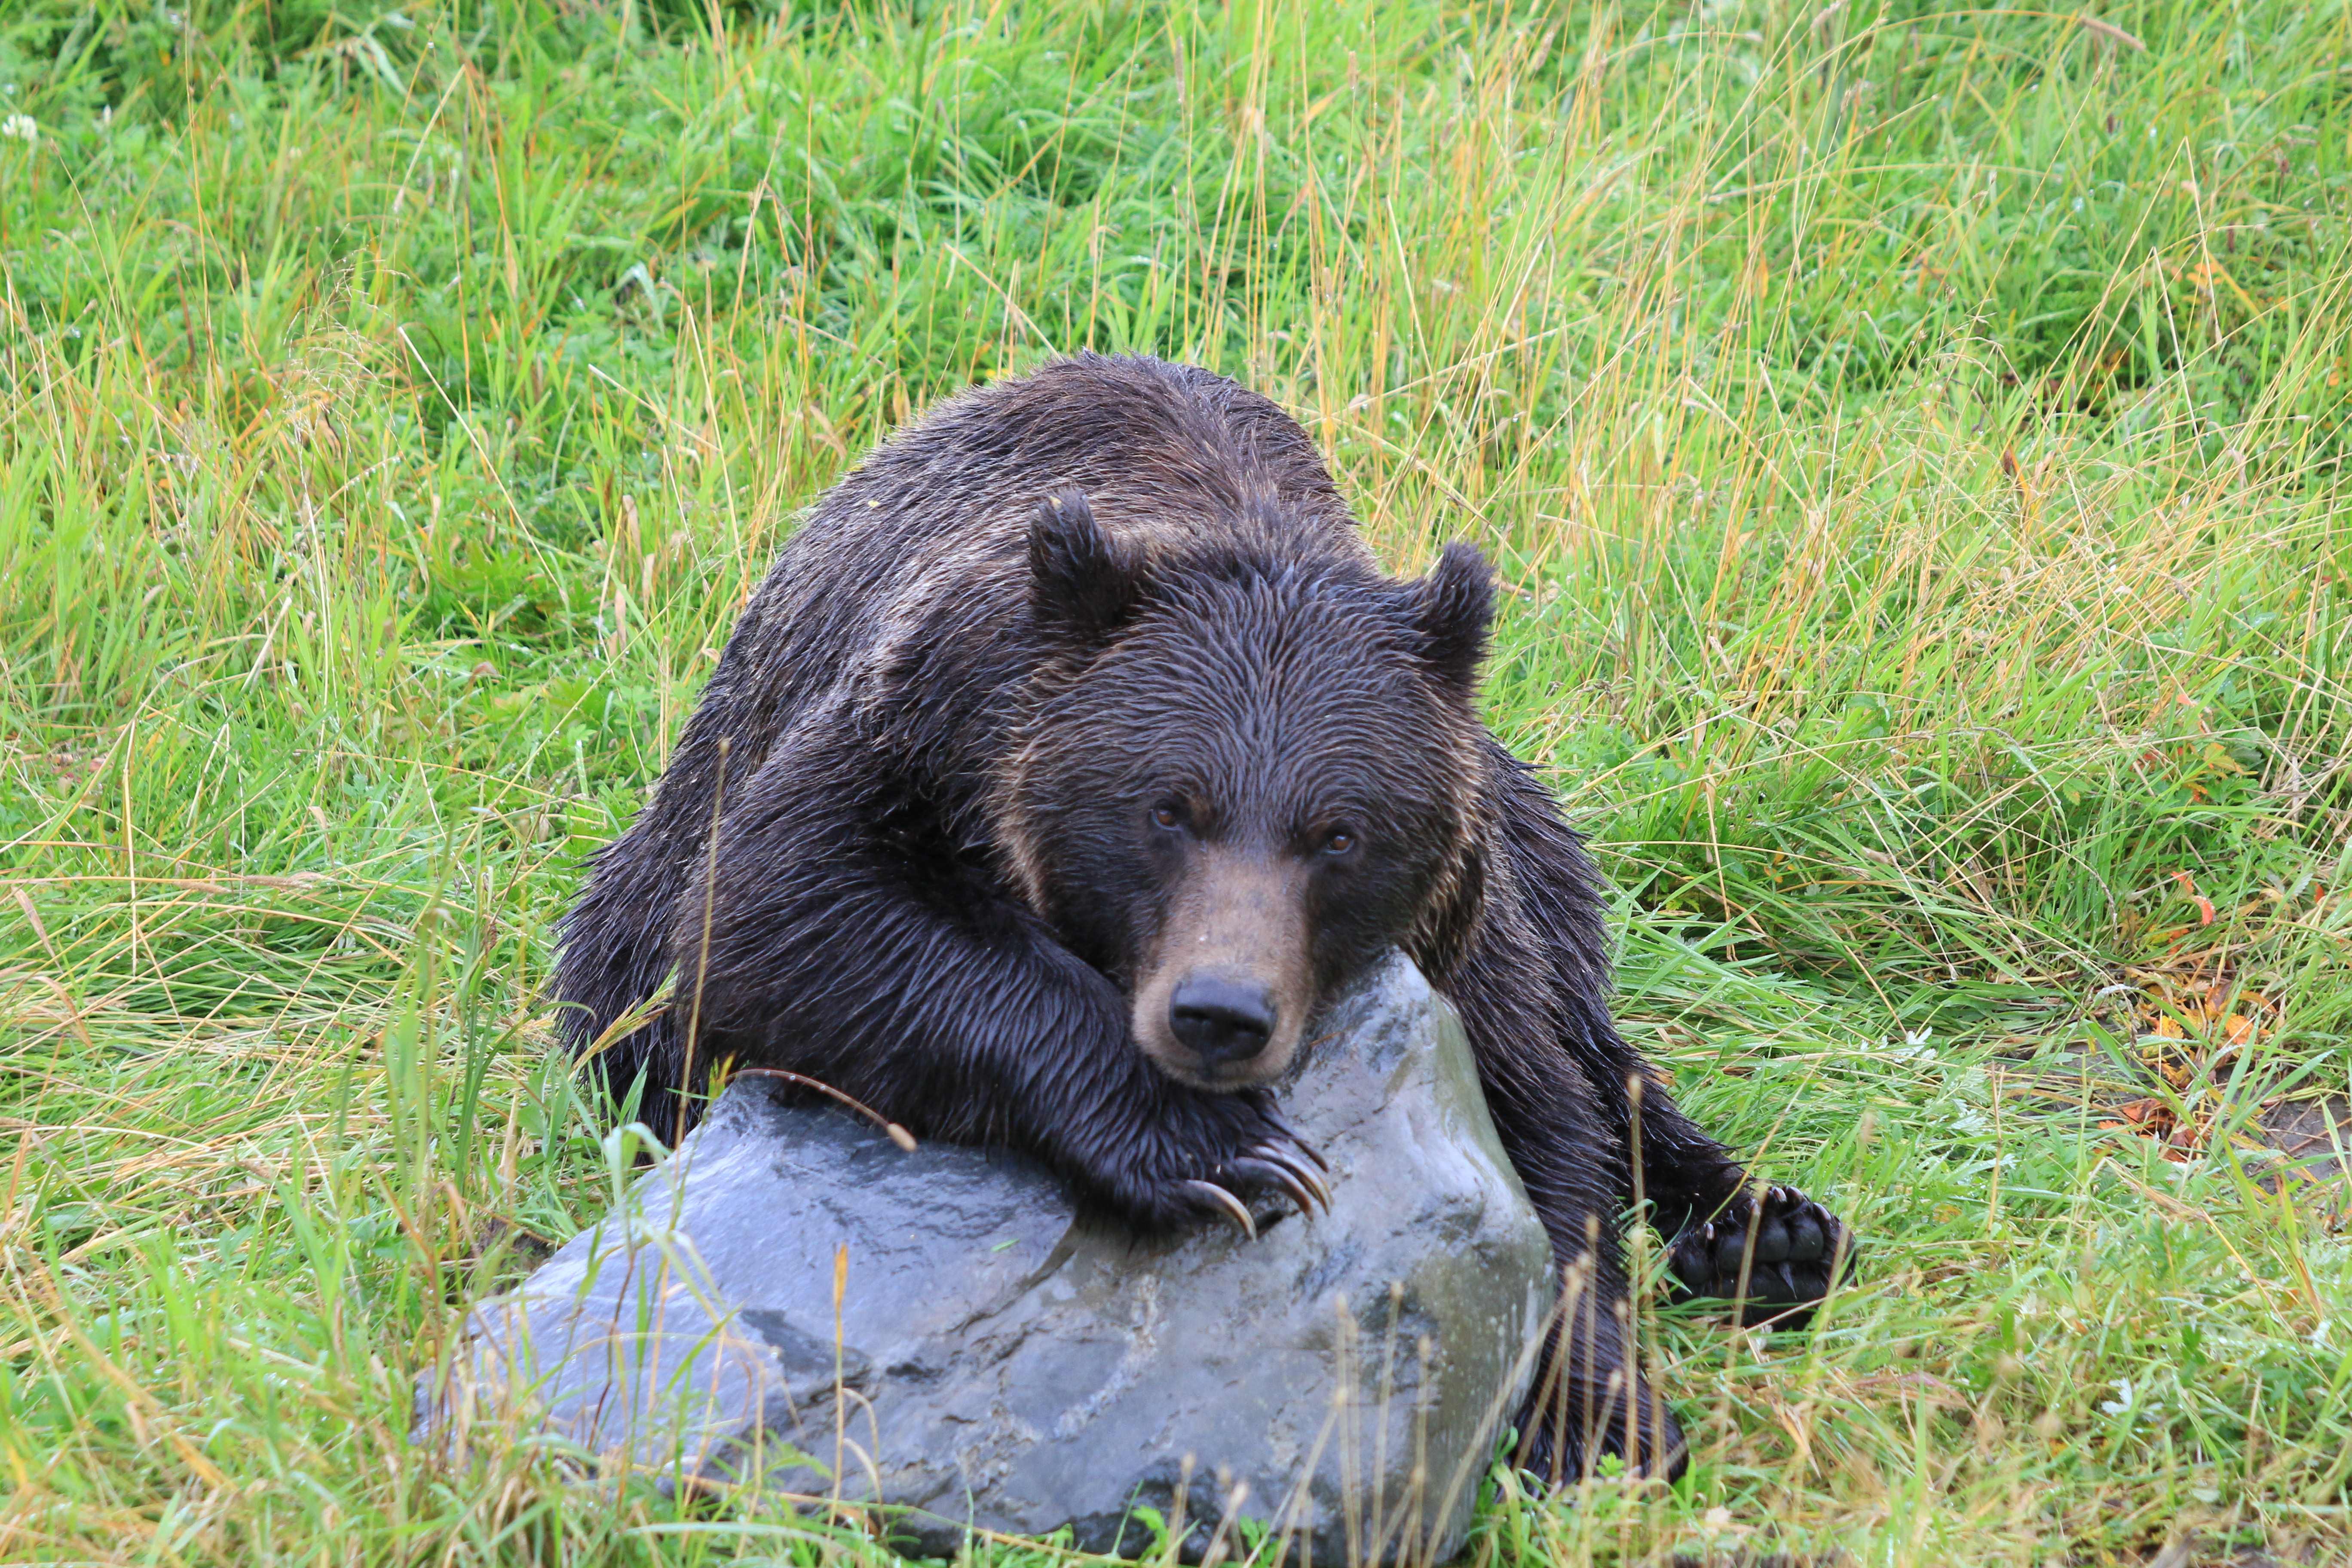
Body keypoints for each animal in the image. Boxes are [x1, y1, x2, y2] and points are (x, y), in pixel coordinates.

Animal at [553, 353, 1853, 1482]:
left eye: (1339, 833)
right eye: (1167, 807)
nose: (1219, 1013)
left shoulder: (1455, 929)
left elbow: (1543, 1129)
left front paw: (1594, 1416)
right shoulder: (919, 720)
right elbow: (779, 907)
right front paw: (1221, 1153)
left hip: (1527, 818)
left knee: (1595, 1031)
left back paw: (1766, 1233)